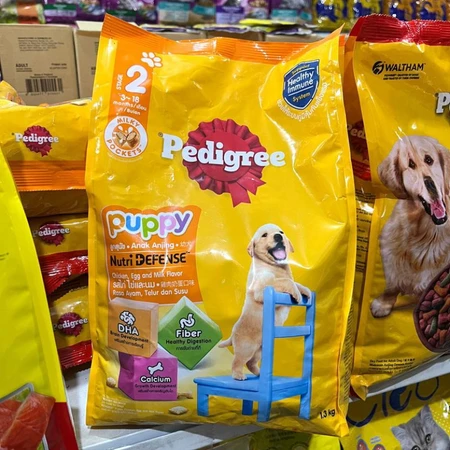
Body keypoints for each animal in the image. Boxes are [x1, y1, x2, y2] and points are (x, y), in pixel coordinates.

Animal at [219, 223, 311, 380]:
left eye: (281, 232)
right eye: (264, 235)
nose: (278, 236)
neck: (276, 266)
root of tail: (232, 334)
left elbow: (294, 282)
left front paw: (305, 290)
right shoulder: (261, 289)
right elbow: (285, 281)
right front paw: (297, 293)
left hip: (260, 350)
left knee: (250, 363)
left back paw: (260, 374)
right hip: (246, 348)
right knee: (237, 361)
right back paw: (238, 376)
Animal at [371, 135, 450, 318]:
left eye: (429, 160)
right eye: (411, 164)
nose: (430, 184)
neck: (428, 233)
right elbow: (392, 285)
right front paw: (383, 304)